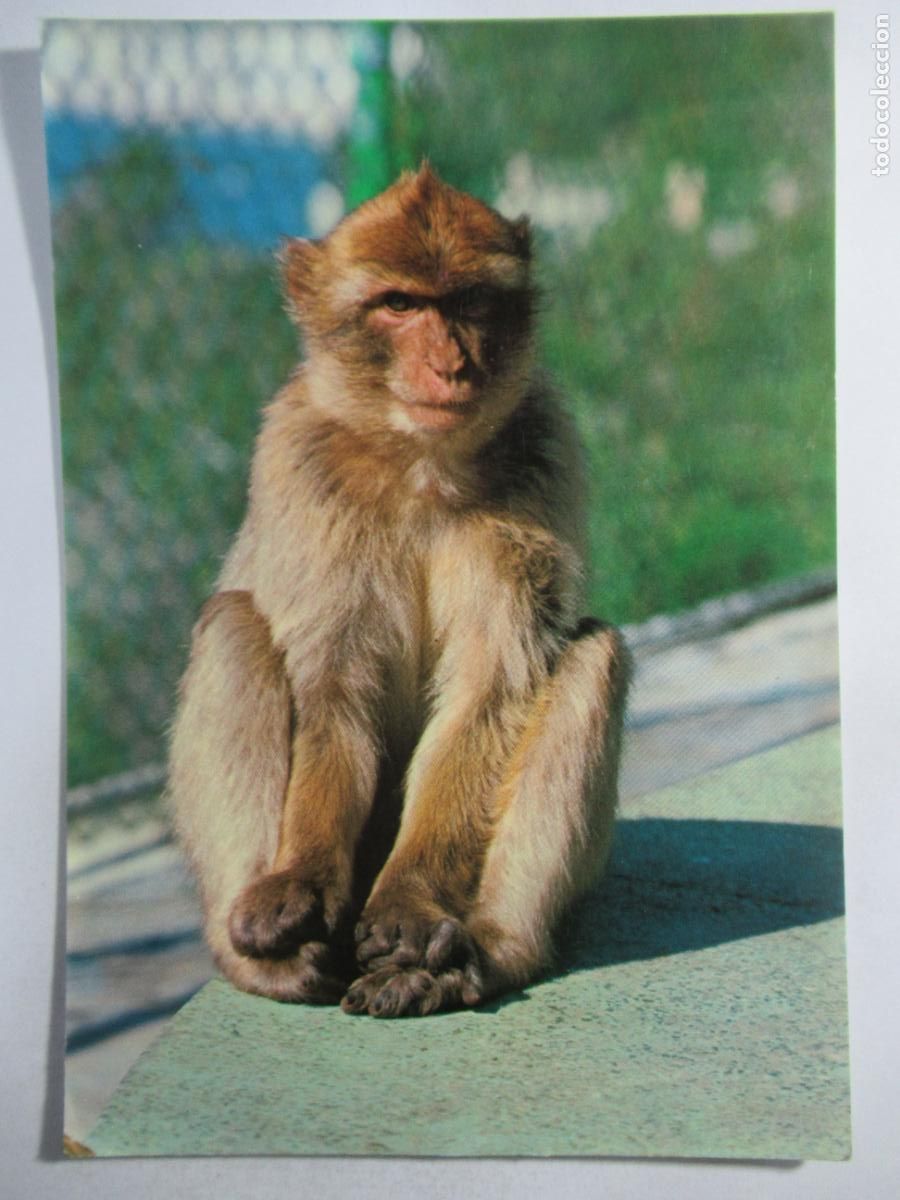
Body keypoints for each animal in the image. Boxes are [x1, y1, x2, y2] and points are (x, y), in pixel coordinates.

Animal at [168, 164, 629, 1018]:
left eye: (469, 301)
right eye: (401, 305)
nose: (451, 364)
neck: (422, 465)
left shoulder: (543, 448)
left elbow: (492, 686)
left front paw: (413, 903)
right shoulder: (298, 459)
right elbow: (332, 684)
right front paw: (302, 877)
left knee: (595, 653)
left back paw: (480, 955)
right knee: (232, 625)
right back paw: (265, 959)